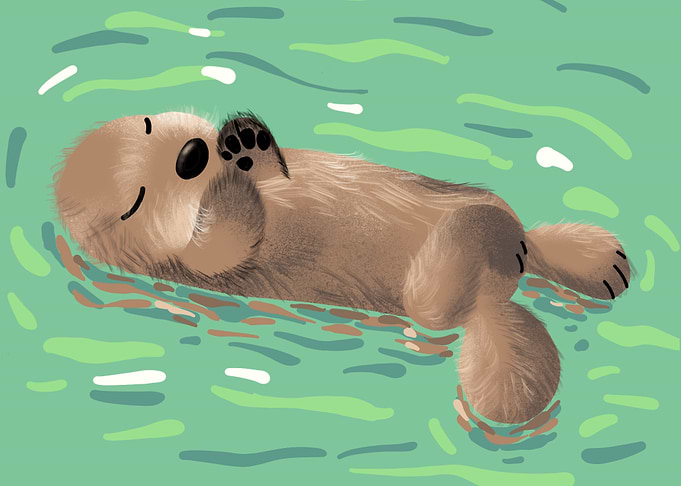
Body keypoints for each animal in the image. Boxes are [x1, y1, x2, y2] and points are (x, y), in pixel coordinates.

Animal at [54, 111, 631, 424]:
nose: (193, 154)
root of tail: (495, 289)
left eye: (149, 124)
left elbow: (272, 170)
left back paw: (603, 263)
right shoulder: (187, 262)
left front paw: (246, 142)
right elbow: (225, 241)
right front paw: (231, 181)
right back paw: (481, 235)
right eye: (135, 200)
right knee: (446, 299)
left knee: (527, 239)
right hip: (435, 295)